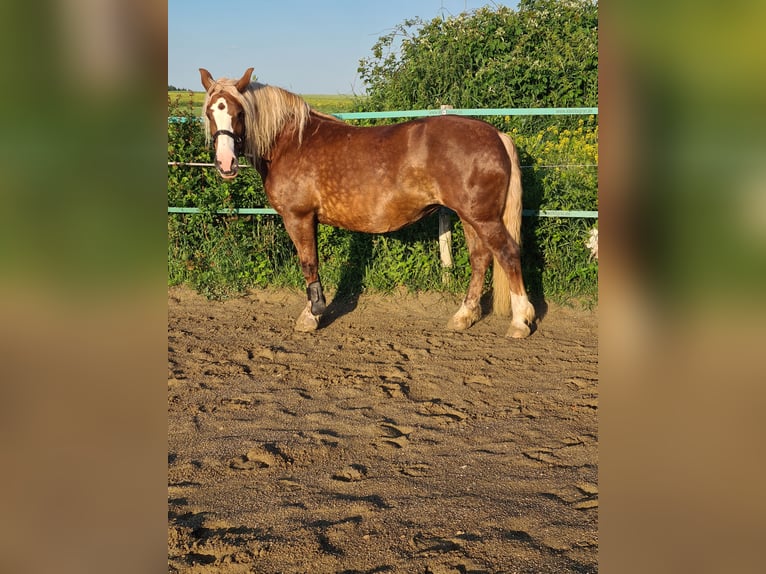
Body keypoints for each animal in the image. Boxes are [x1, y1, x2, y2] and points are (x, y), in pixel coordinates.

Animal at [200, 67, 536, 338]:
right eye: (210, 113)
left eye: (239, 113)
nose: (226, 164)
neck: (291, 142)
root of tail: (496, 134)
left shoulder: (298, 216)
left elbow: (309, 263)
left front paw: (311, 315)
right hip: (469, 216)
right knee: (480, 259)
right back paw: (463, 316)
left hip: (483, 217)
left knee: (507, 254)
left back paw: (520, 321)